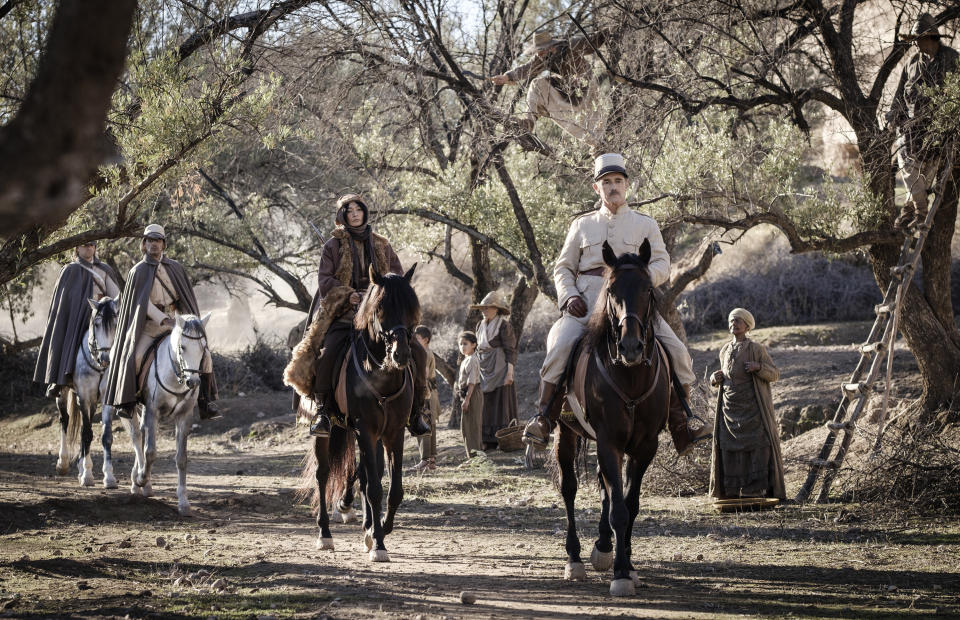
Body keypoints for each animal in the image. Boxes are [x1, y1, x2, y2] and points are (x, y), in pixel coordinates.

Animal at [56, 298, 119, 486]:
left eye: (116, 324)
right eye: (96, 324)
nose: (105, 360)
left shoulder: (104, 400)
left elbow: (106, 436)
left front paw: (109, 476)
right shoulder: (84, 397)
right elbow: (87, 434)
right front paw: (87, 475)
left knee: (85, 424)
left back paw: (79, 466)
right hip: (63, 393)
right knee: (65, 419)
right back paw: (63, 463)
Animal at [118, 312, 210, 516]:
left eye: (203, 348)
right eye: (182, 347)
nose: (193, 382)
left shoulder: (184, 417)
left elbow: (181, 459)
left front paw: (183, 502)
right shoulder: (152, 412)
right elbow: (150, 451)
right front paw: (142, 478)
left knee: (141, 435)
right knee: (136, 437)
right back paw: (139, 481)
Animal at [304, 264, 416, 560]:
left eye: (411, 307)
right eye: (380, 309)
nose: (401, 354)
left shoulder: (393, 433)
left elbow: (393, 489)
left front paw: (380, 528)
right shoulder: (364, 429)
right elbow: (375, 488)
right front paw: (378, 543)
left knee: (364, 474)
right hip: (327, 431)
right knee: (323, 474)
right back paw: (325, 533)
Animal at [560, 241, 672, 596]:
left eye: (648, 289)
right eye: (611, 290)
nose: (631, 347)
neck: (631, 376)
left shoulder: (644, 446)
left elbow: (629, 503)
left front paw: (628, 565)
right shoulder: (609, 442)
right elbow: (619, 510)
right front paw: (621, 573)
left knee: (604, 488)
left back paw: (603, 547)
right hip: (564, 433)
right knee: (569, 488)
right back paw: (575, 559)